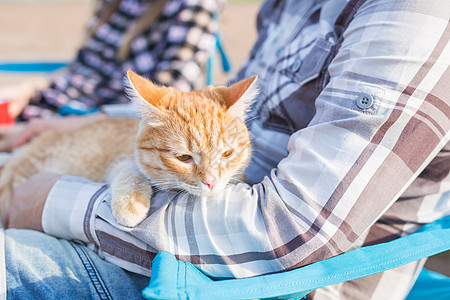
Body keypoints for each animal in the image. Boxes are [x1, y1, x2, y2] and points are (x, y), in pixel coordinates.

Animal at [0, 71, 256, 226]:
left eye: (227, 153)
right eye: (184, 157)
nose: (212, 182)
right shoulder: (123, 160)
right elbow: (131, 172)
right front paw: (131, 204)